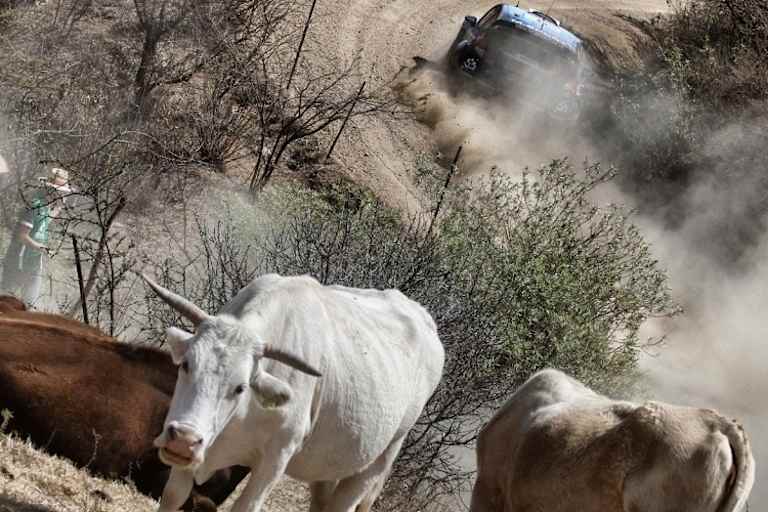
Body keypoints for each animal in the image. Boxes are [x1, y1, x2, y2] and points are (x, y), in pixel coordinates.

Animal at [142, 272, 445, 512]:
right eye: (186, 365)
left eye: (240, 387)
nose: (184, 439)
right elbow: (173, 495)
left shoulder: (275, 459)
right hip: (330, 465)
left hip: (380, 458)